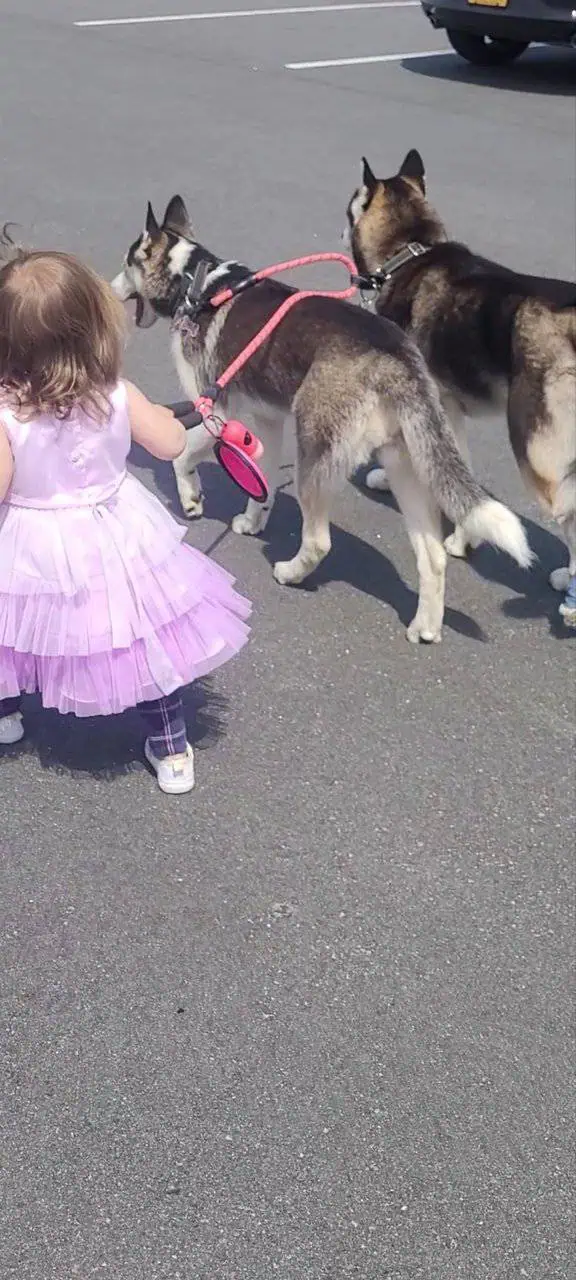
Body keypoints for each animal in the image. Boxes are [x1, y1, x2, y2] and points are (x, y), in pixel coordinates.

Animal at [112, 195, 532, 644]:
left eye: (127, 262)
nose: (111, 287)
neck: (197, 283)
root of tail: (396, 357)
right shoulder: (266, 422)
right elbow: (261, 484)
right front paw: (252, 520)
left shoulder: (215, 410)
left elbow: (181, 458)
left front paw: (191, 498)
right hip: (404, 465)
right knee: (433, 556)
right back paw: (425, 626)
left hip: (313, 454)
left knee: (319, 542)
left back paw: (291, 572)